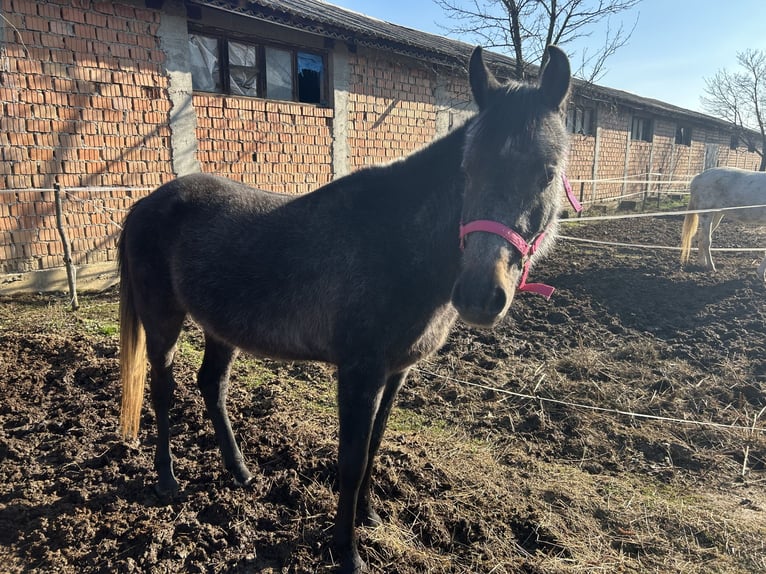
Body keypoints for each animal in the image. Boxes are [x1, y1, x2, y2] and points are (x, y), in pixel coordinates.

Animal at [120, 46, 572, 574]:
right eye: (468, 169)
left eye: (546, 173)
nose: (481, 294)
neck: (397, 242)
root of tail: (146, 204)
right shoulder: (359, 373)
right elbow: (352, 460)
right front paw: (347, 551)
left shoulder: (395, 373)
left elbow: (374, 445)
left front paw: (370, 516)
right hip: (163, 322)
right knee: (163, 391)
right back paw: (167, 480)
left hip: (220, 328)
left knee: (212, 386)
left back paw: (242, 472)